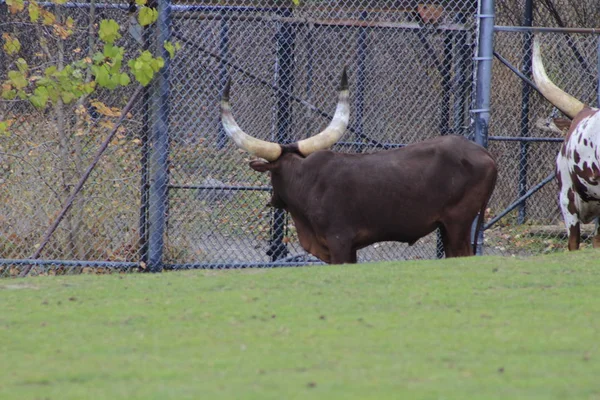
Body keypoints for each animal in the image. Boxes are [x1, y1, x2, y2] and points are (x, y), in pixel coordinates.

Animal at [220, 69, 496, 262]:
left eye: (271, 175)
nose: (273, 201)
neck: (305, 179)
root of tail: (485, 154)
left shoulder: (339, 242)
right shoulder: (350, 248)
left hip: (458, 223)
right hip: (448, 228)